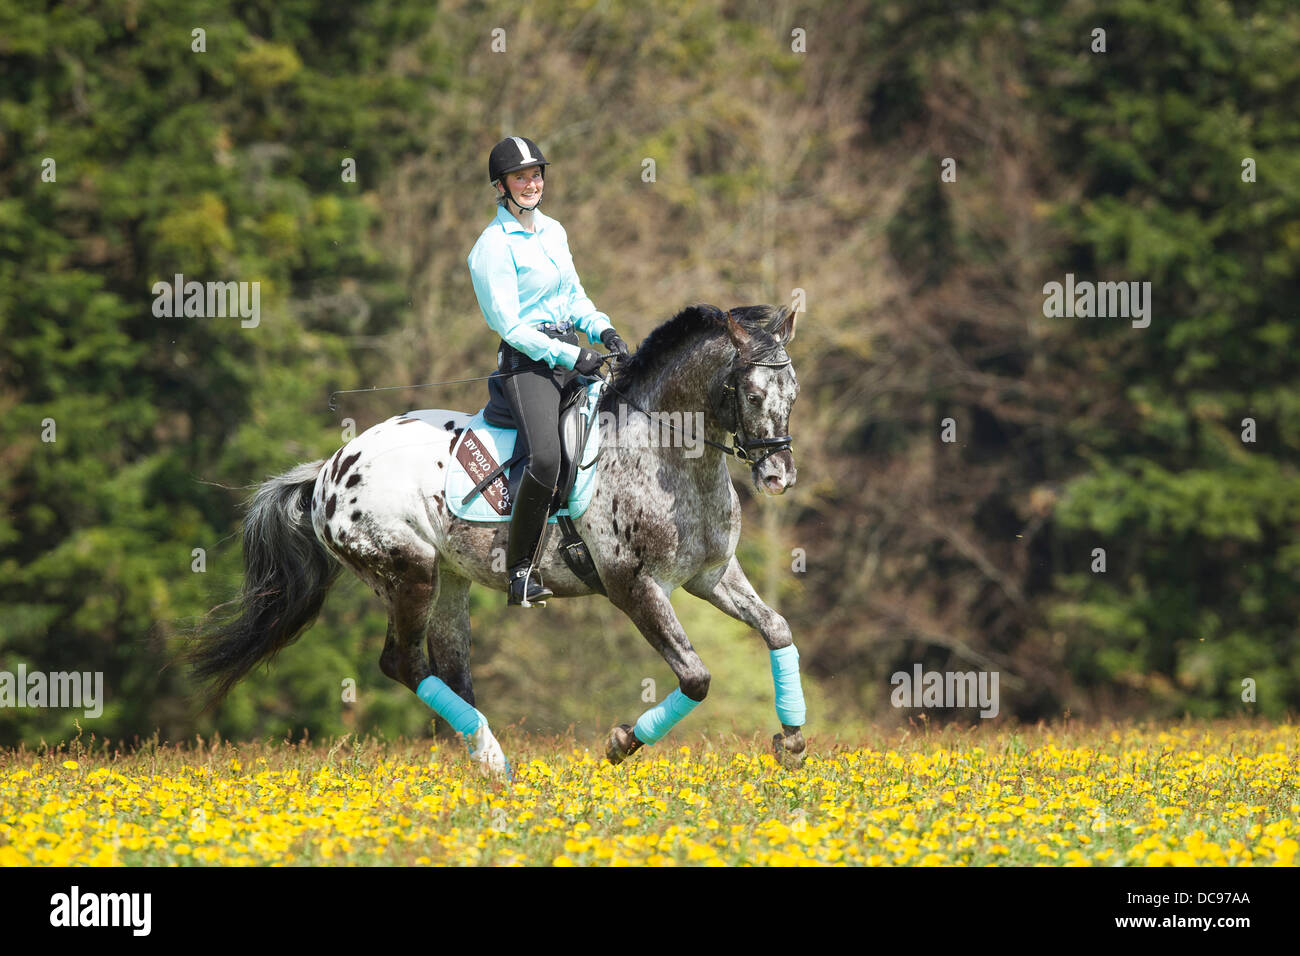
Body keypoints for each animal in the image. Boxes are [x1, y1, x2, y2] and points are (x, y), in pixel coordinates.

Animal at [188, 303, 806, 776]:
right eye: (752, 394)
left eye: (793, 393)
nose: (778, 475)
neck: (664, 453)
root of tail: (329, 469)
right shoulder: (634, 587)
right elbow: (696, 677)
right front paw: (620, 743)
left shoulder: (711, 576)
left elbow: (777, 628)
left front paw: (793, 742)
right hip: (409, 574)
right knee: (405, 664)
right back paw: (492, 762)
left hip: (449, 581)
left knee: (452, 671)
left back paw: (490, 764)